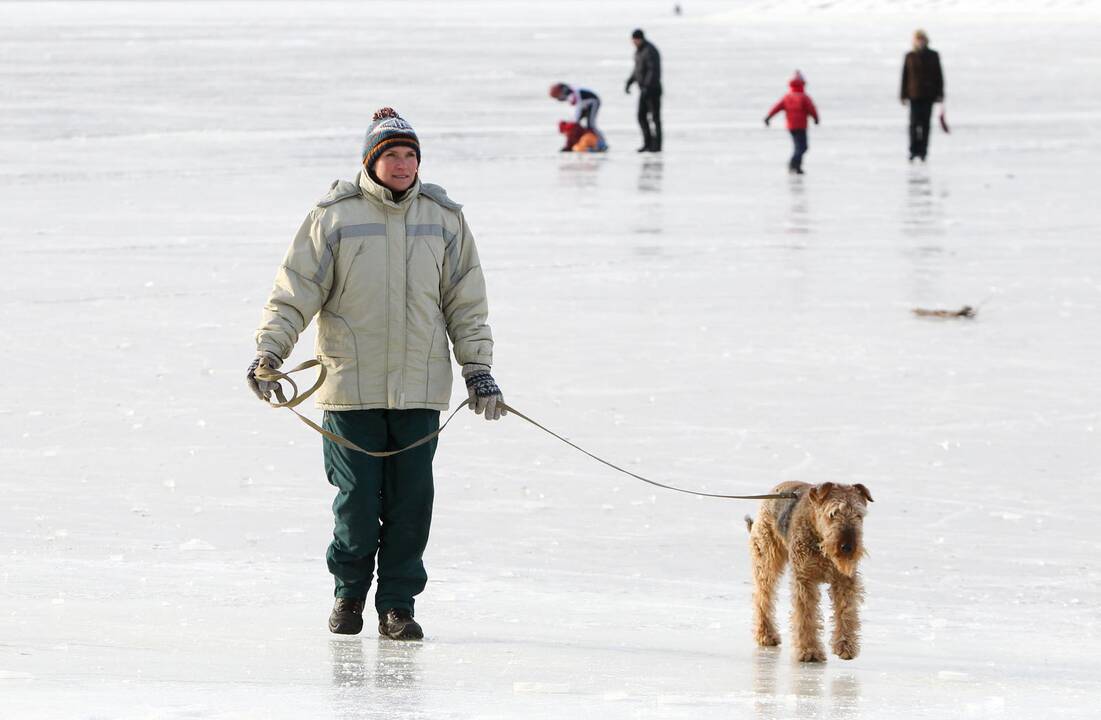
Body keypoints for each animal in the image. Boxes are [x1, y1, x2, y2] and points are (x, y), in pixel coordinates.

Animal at [744, 482, 871, 664]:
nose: (847, 547)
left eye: (859, 515)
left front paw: (846, 647)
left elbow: (846, 612)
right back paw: (766, 635)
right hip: (767, 562)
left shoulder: (844, 580)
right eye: (833, 513)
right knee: (762, 598)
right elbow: (806, 616)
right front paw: (809, 652)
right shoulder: (805, 579)